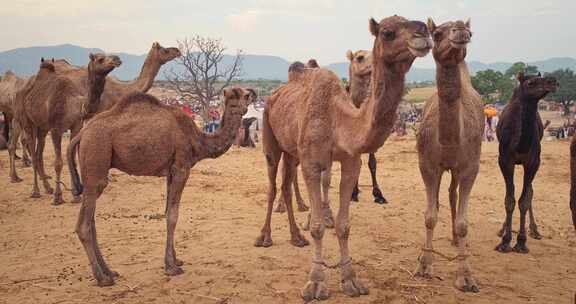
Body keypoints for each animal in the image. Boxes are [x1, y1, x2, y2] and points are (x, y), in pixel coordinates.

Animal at [16, 55, 121, 205]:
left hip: (42, 127)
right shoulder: (56, 129)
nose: (117, 59)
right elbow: (58, 163)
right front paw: (58, 197)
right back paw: (36, 192)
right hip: (28, 122)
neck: (72, 104)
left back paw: (48, 188)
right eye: (100, 58)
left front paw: (76, 196)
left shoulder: (76, 126)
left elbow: (73, 159)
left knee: (38, 153)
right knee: (34, 154)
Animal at [66, 86, 254, 286]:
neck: (198, 139)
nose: (242, 109)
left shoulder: (171, 172)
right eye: (239, 98)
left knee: (91, 220)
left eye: (244, 96)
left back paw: (109, 271)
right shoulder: (181, 168)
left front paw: (176, 260)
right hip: (96, 157)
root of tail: (81, 134)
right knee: (85, 224)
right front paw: (171, 267)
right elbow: (173, 216)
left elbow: (167, 211)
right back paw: (102, 278)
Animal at [254, 15, 430, 300]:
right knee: (272, 185)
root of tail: (274, 95)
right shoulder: (312, 163)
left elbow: (344, 225)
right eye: (387, 32)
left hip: (291, 151)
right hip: (270, 137)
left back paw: (296, 237)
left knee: (286, 185)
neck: (339, 120)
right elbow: (317, 226)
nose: (424, 33)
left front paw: (351, 280)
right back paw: (264, 237)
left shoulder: (350, 163)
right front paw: (315, 283)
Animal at [496, 72, 560, 253]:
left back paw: (535, 230)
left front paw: (521, 242)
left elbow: (524, 200)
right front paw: (505, 241)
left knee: (530, 191)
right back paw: (503, 229)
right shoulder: (504, 160)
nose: (552, 81)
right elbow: (509, 200)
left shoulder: (533, 163)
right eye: (531, 83)